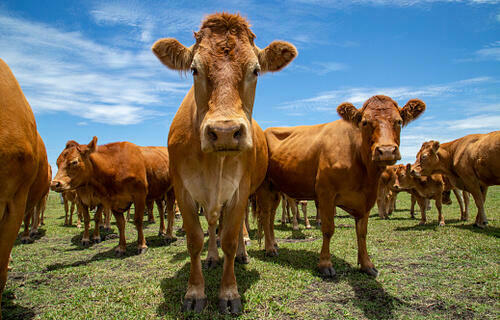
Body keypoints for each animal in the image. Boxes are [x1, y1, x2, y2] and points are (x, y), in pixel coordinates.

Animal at [150, 13, 294, 316]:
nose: (225, 131)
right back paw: (212, 257)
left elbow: (229, 237)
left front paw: (229, 293)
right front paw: (195, 292)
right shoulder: (183, 190)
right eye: (194, 69)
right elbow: (195, 239)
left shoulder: (239, 190)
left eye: (256, 70)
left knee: (239, 228)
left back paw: (243, 253)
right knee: (214, 223)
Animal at [256, 94, 424, 278]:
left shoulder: (367, 198)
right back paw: (270, 248)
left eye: (399, 121)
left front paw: (367, 264)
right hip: (264, 186)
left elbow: (362, 232)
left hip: (276, 188)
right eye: (365, 122)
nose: (386, 151)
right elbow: (328, 229)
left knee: (271, 216)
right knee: (265, 215)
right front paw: (325, 264)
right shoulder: (326, 194)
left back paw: (273, 243)